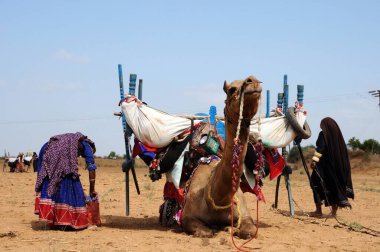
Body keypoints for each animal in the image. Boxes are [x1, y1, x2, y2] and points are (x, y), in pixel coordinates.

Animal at [181, 75, 262, 238]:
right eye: (232, 89)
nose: (253, 81)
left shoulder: (245, 215)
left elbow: (250, 230)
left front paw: (229, 228)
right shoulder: (187, 217)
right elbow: (206, 232)